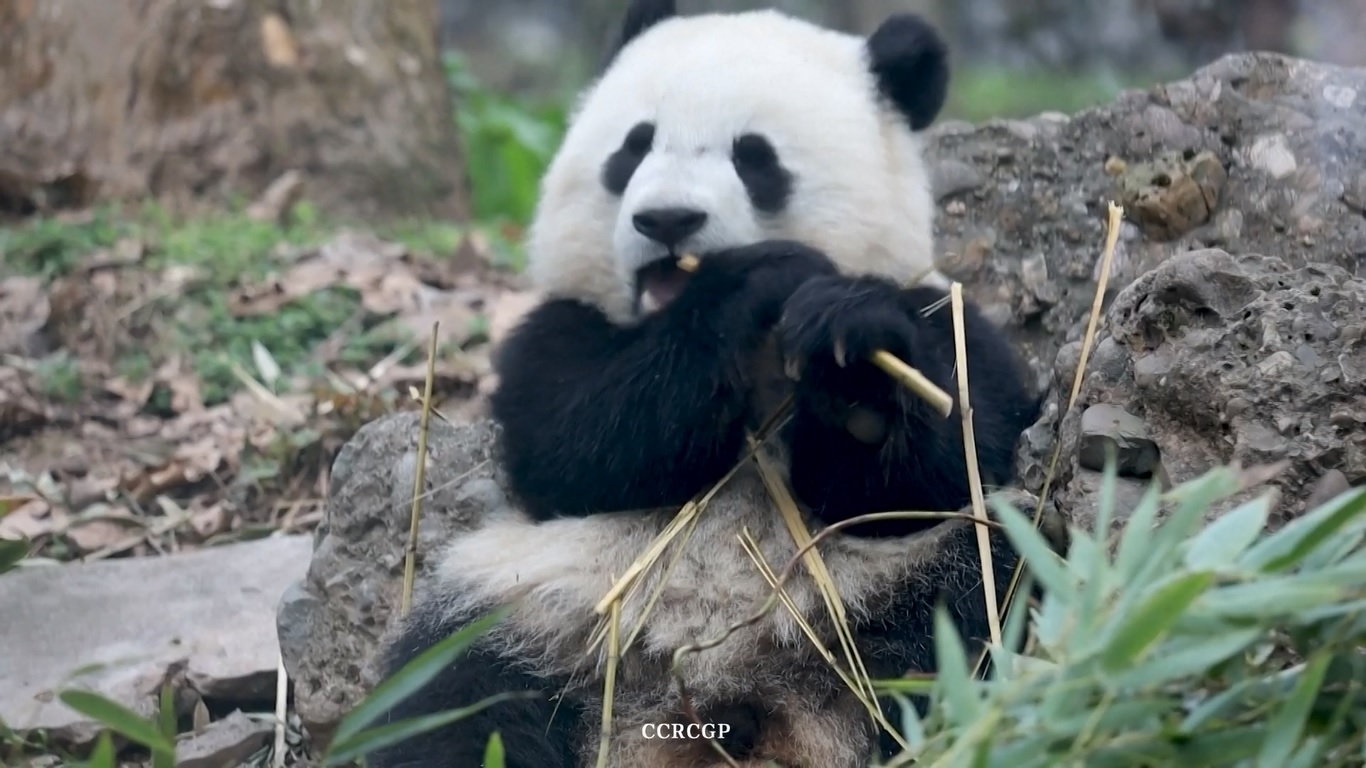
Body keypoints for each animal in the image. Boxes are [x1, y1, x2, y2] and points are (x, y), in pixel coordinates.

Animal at [367, 2, 1052, 767]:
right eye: (634, 146)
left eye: (754, 157)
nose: (667, 219)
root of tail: (726, 701)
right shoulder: (556, 335)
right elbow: (575, 444)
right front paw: (750, 284)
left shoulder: (949, 322)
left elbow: (935, 468)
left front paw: (850, 352)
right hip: (532, 612)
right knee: (452, 702)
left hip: (897, 590)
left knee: (979, 616)